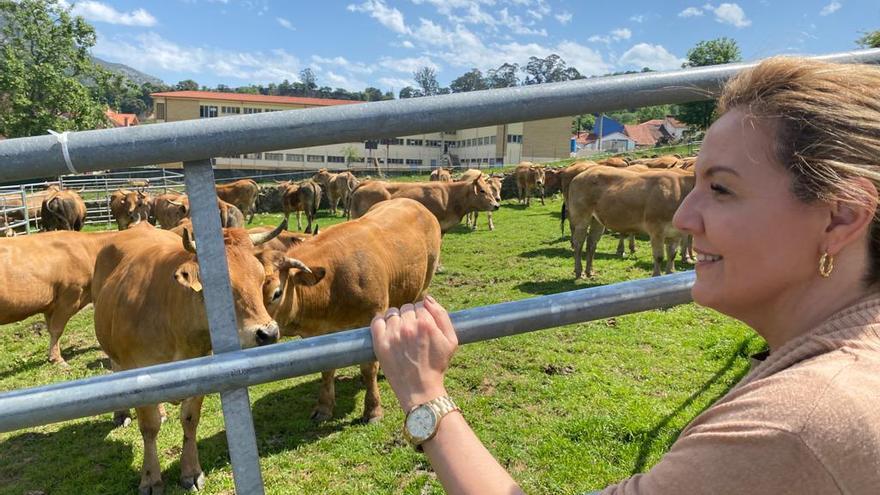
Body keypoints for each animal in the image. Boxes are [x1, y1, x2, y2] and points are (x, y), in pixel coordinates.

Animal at [91, 223, 282, 494]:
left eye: (260, 278)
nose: (269, 333)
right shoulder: (138, 372)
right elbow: (149, 428)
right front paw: (150, 478)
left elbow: (190, 420)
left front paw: (191, 472)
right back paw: (122, 413)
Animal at [260, 200, 440, 424]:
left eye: (277, 293)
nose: (263, 334)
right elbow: (327, 369)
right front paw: (324, 407)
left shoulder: (371, 320)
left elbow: (368, 367)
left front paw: (373, 410)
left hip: (422, 288)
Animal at [568, 167, 696, 280]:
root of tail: (582, 174)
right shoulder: (656, 229)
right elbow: (659, 257)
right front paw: (656, 276)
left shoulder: (675, 233)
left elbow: (672, 255)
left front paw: (670, 274)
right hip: (581, 217)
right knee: (578, 243)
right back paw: (579, 272)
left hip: (597, 220)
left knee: (591, 243)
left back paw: (590, 271)